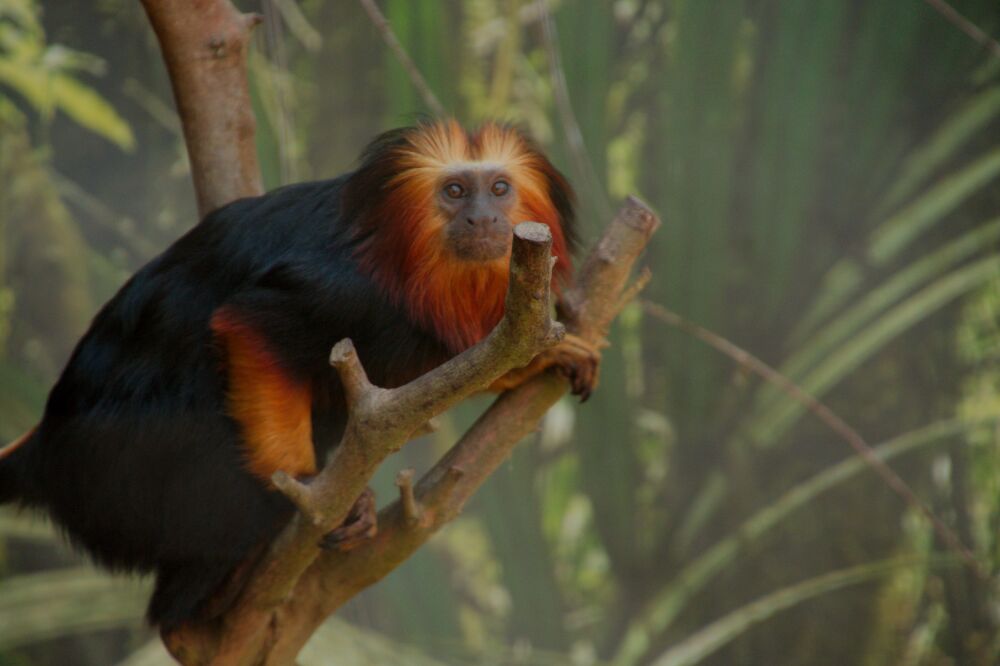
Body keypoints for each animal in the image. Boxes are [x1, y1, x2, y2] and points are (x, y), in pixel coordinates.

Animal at [0, 120, 592, 628]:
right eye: (454, 192)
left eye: (498, 188)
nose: (483, 219)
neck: (408, 262)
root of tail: (44, 444)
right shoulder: (342, 288)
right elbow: (249, 325)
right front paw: (303, 487)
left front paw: (540, 357)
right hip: (121, 460)